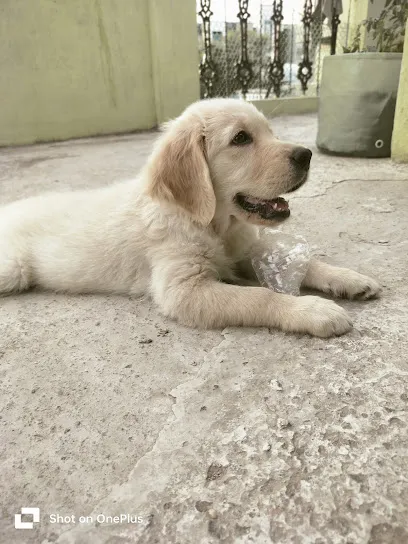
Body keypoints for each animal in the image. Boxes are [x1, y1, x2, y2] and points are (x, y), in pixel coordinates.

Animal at [0, 98, 382, 336]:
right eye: (241, 138)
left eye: (271, 132)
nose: (306, 155)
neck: (211, 223)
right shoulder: (184, 288)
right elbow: (260, 297)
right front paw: (314, 310)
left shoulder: (242, 251)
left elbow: (310, 263)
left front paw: (348, 278)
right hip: (12, 269)